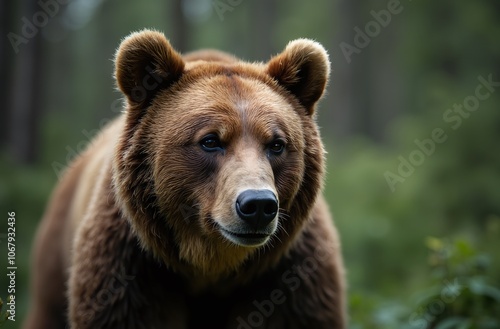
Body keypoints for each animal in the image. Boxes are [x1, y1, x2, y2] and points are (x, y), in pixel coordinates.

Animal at [22, 29, 344, 326]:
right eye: (210, 141)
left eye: (276, 144)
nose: (258, 205)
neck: (209, 267)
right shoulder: (130, 270)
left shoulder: (289, 277)